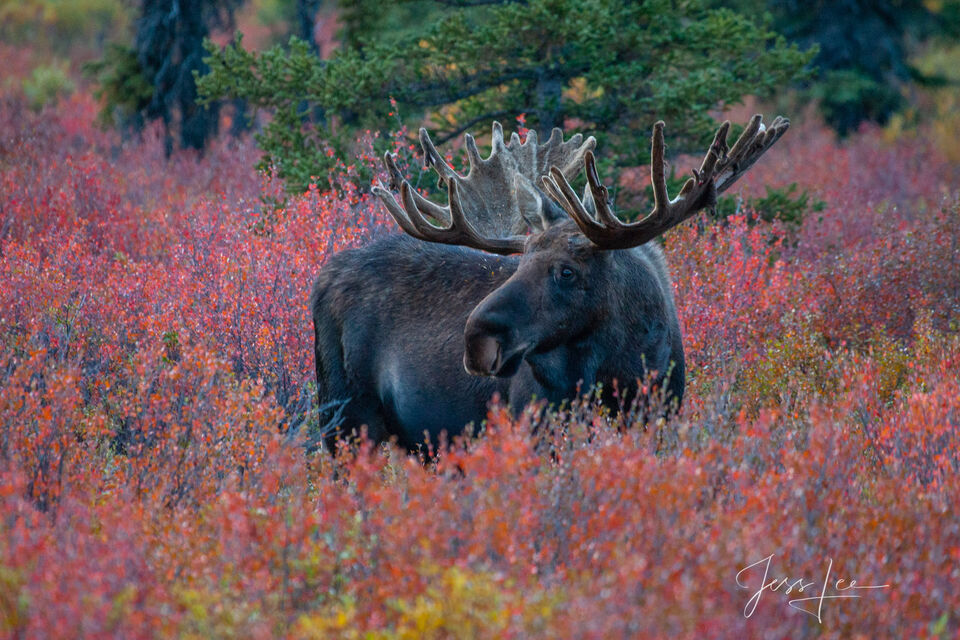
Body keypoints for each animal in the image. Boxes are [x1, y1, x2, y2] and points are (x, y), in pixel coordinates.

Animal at [310, 114, 788, 450]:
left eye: (567, 271)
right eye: (519, 263)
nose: (475, 340)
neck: (623, 372)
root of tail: (323, 279)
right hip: (345, 419)